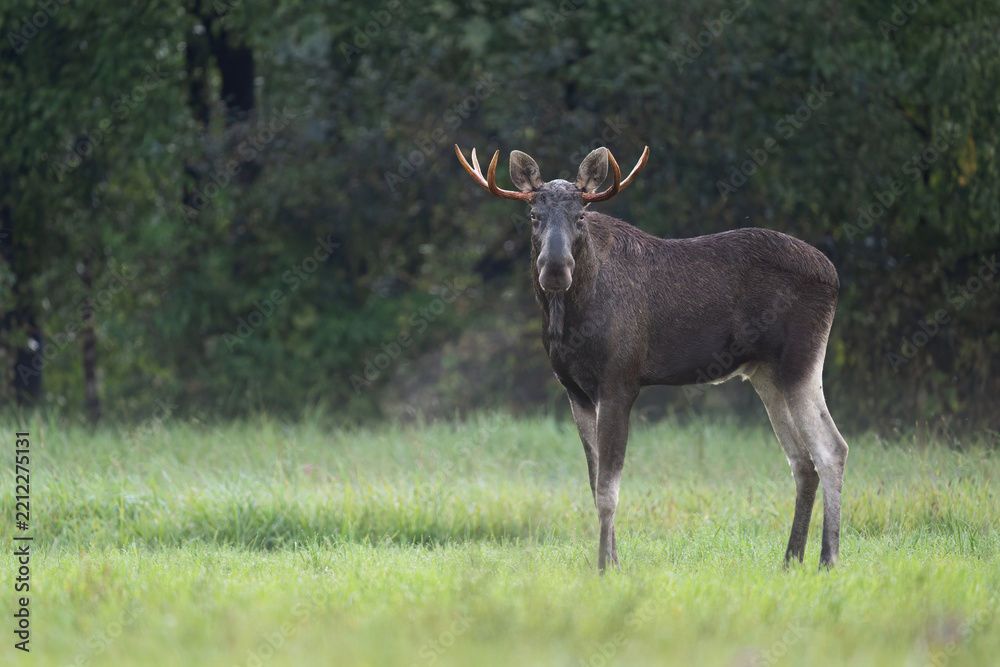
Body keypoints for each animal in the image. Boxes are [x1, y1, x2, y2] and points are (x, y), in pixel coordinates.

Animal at [455, 143, 849, 573]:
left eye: (580, 216)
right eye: (532, 215)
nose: (555, 269)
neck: (569, 322)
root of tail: (835, 276)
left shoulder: (620, 381)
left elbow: (609, 488)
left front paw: (604, 568)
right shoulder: (575, 390)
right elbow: (593, 483)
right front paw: (613, 561)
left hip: (800, 361)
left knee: (831, 449)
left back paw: (827, 559)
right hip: (765, 374)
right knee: (801, 460)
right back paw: (791, 559)